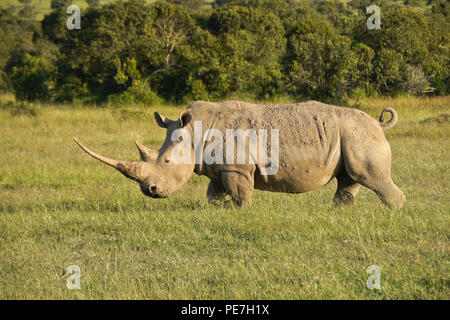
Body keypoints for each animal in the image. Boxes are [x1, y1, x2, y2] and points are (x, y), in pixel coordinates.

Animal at [74, 101, 404, 209]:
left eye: (166, 162)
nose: (150, 191)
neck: (194, 130)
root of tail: (379, 123)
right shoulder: (218, 167)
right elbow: (214, 192)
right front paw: (216, 212)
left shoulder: (236, 167)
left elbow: (239, 192)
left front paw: (242, 213)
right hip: (350, 136)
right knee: (350, 178)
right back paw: (337, 213)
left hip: (360, 135)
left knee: (370, 177)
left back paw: (394, 213)